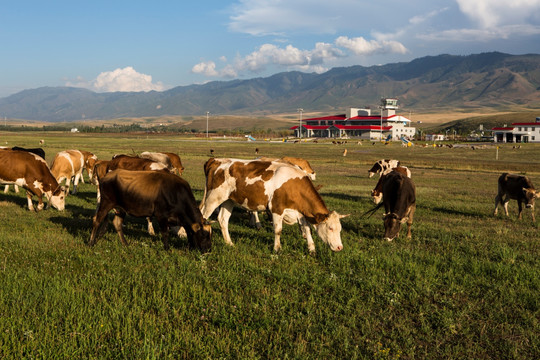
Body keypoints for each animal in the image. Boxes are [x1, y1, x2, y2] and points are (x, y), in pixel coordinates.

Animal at [200, 158, 348, 253]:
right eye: (330, 228)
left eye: (340, 229)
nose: (340, 247)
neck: (294, 184)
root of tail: (216, 160)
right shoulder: (277, 209)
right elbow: (278, 230)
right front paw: (277, 249)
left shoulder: (300, 212)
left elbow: (307, 229)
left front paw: (311, 249)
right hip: (213, 197)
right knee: (203, 216)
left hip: (228, 200)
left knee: (223, 220)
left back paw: (229, 243)